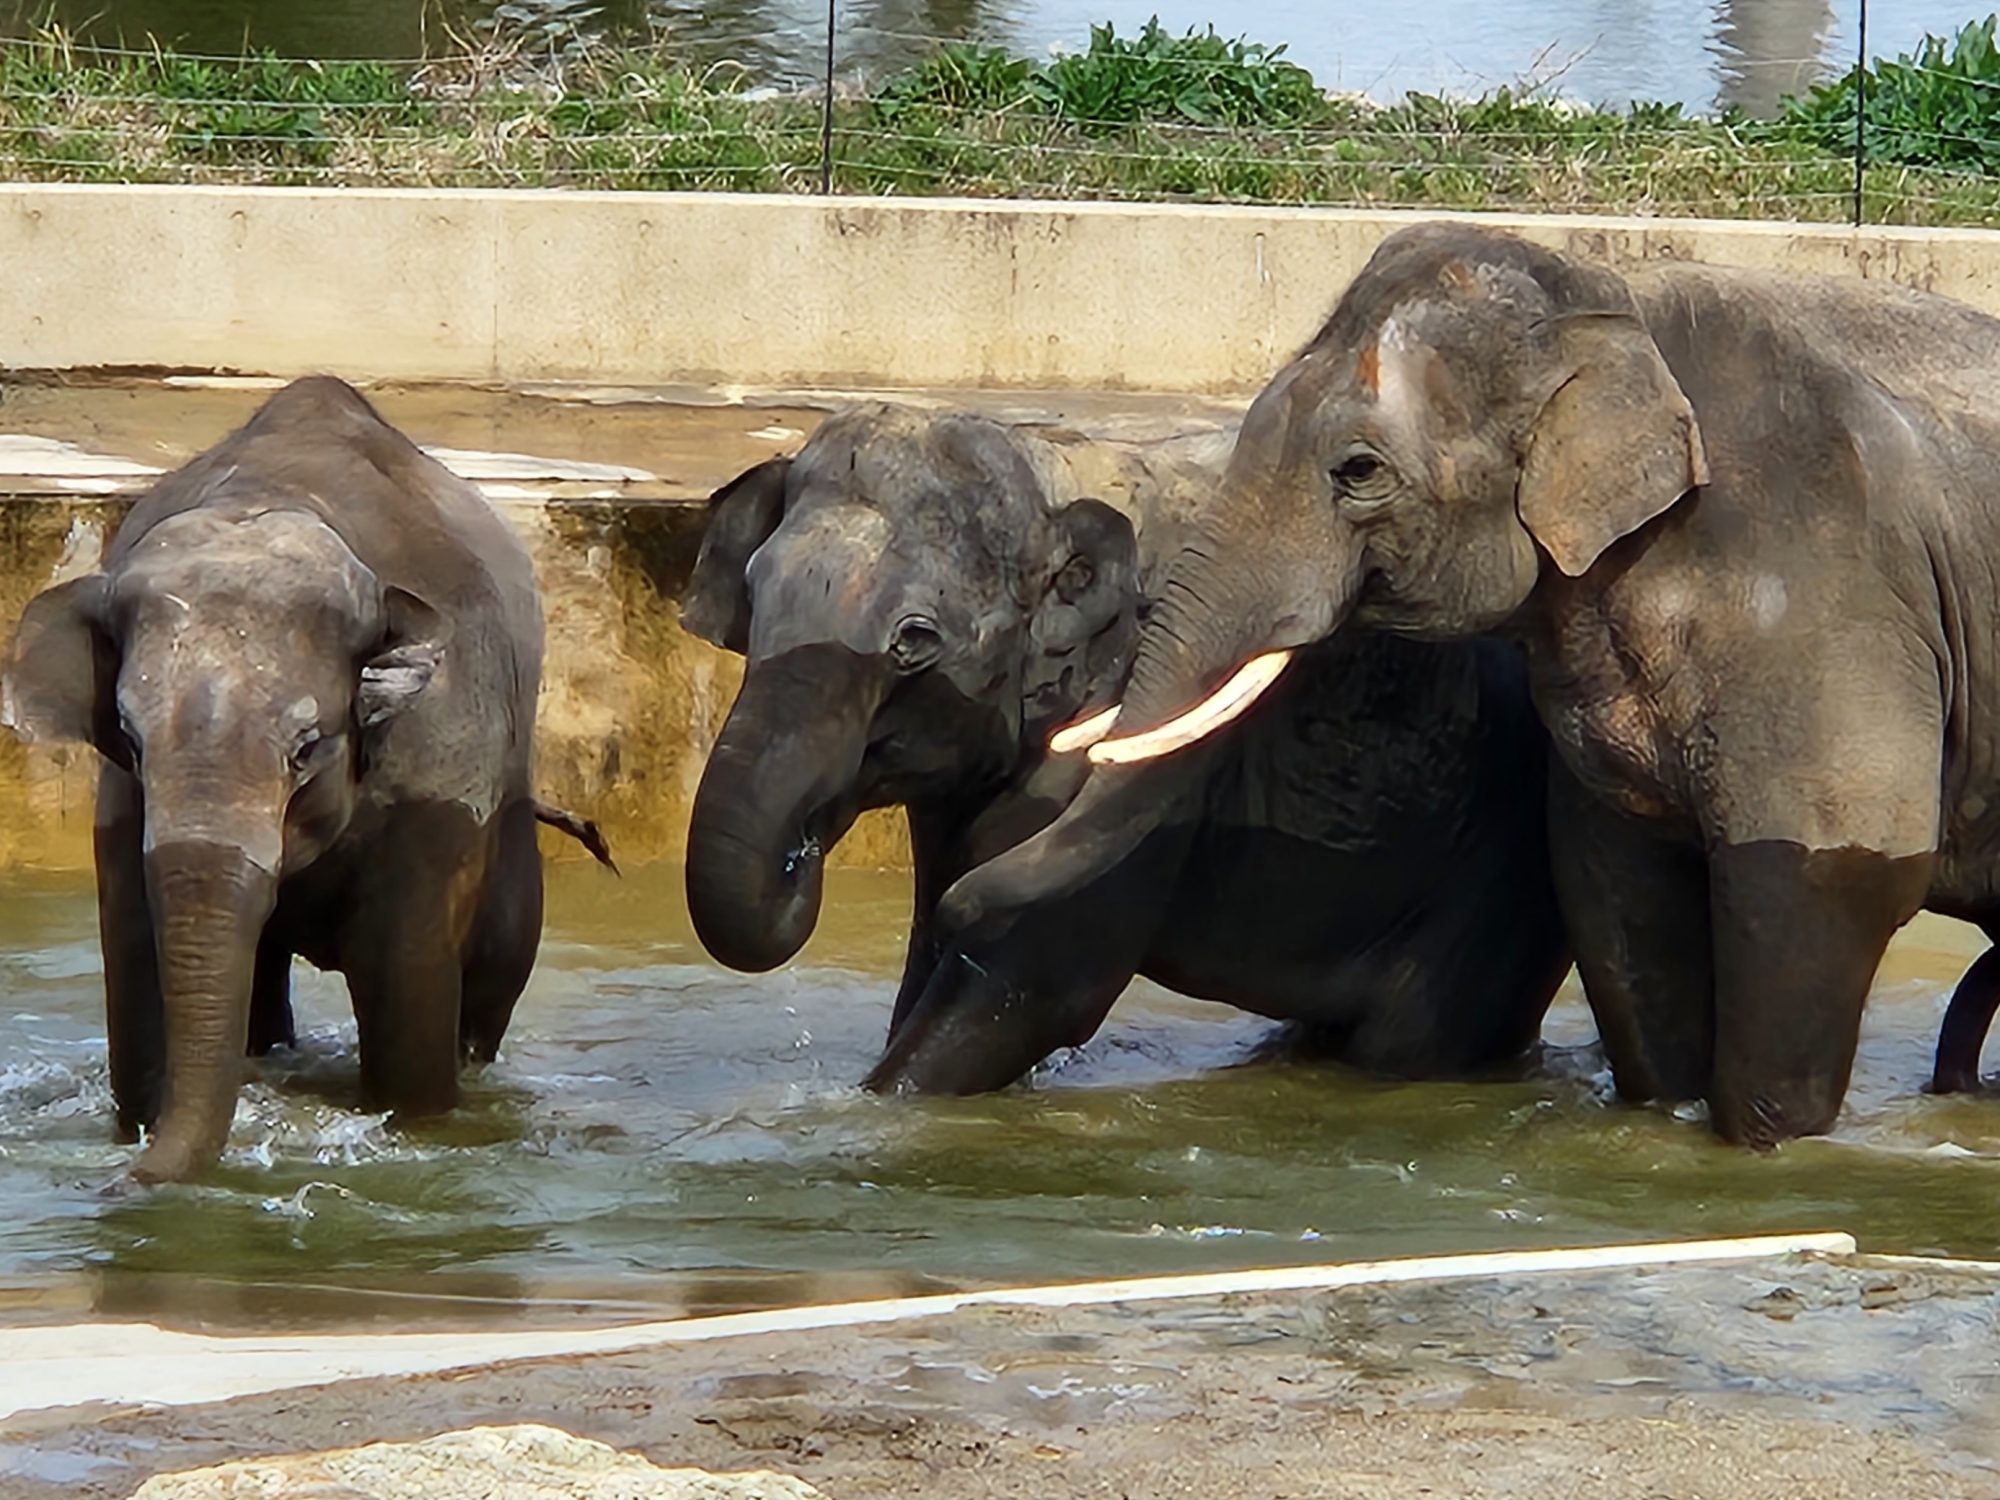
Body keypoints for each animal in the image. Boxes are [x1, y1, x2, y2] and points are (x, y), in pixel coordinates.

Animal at [0, 376, 608, 1184]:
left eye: (307, 747)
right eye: (127, 739)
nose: (122, 1180)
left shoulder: (437, 769)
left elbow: (405, 1004)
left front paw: (417, 1131)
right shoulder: (124, 811)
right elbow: (137, 974)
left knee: (491, 983)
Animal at [680, 406, 1568, 1096]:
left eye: (914, 641)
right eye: (754, 602)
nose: (802, 854)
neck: (1049, 466)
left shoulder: (1146, 735)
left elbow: (1038, 981)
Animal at [940, 214, 2000, 1152]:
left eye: (1358, 470)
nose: (949, 900)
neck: (1615, 298)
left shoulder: (1830, 593)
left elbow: (1830, 872)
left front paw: (1765, 1152)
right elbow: (1618, 885)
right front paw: (1662, 1127)